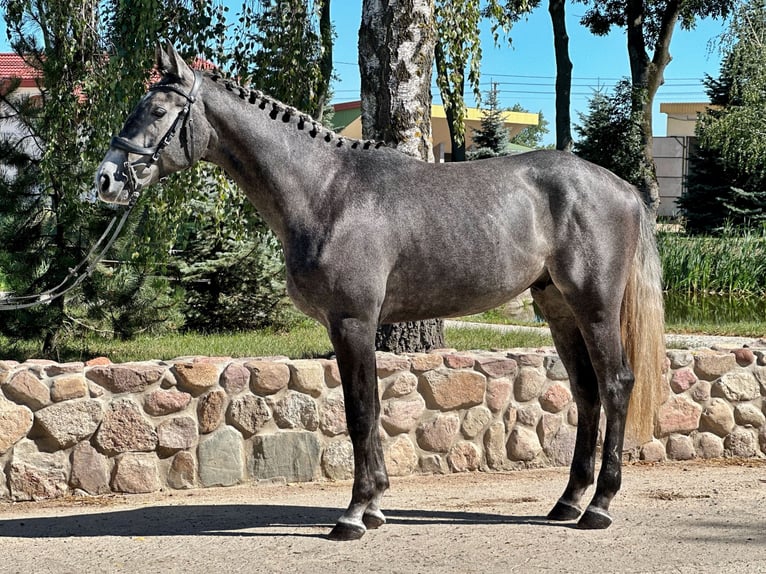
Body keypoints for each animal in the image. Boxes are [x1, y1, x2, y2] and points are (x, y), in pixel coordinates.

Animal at [97, 44, 664, 540]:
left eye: (158, 110)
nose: (106, 180)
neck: (328, 192)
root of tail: (623, 189)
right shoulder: (352, 326)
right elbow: (364, 410)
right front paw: (373, 507)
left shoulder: (352, 321)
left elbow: (361, 413)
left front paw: (353, 515)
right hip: (557, 306)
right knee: (587, 391)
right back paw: (568, 501)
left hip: (595, 306)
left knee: (616, 384)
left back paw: (599, 506)